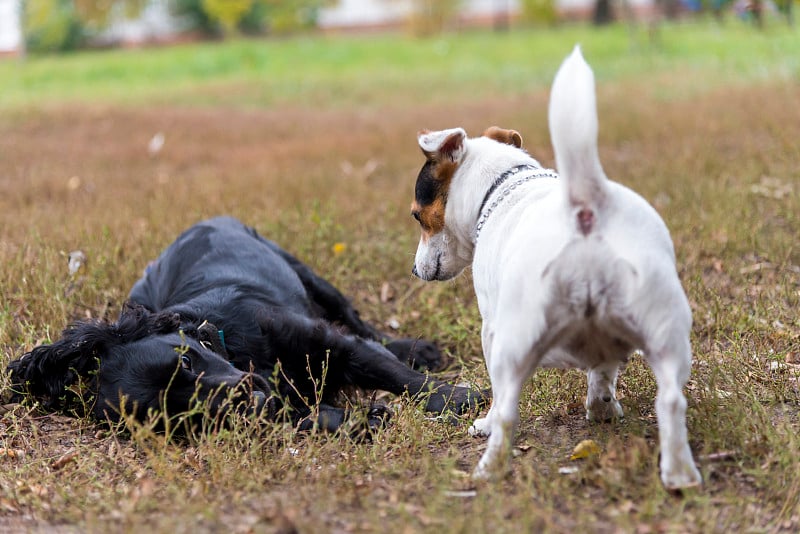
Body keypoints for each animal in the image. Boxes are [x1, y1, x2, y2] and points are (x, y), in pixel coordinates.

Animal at [9, 218, 484, 436]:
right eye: (180, 416)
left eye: (186, 360)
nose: (247, 398)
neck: (231, 343)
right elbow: (309, 416)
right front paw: (358, 418)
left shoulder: (329, 341)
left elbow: (400, 377)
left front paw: (461, 398)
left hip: (309, 276)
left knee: (364, 325)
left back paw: (417, 350)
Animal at [410, 46, 704, 490]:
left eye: (416, 216)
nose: (414, 271)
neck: (504, 183)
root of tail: (585, 203)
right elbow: (602, 373)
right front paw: (602, 408)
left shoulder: (490, 327)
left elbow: (497, 395)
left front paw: (485, 423)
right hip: (666, 330)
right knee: (671, 400)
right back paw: (679, 473)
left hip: (514, 342)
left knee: (508, 412)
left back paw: (489, 468)